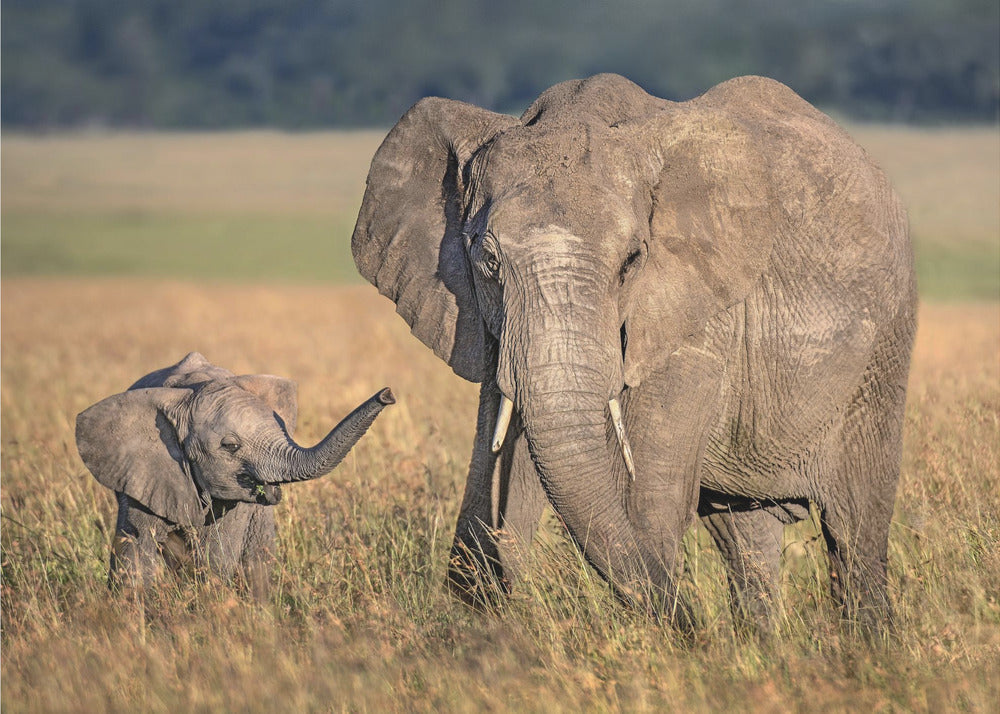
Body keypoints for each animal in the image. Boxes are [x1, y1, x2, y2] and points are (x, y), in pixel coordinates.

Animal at [351, 73, 917, 632]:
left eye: (631, 262)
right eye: (486, 261)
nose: (698, 625)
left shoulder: (698, 317)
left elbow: (642, 501)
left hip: (881, 355)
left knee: (855, 526)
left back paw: (866, 642)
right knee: (745, 534)